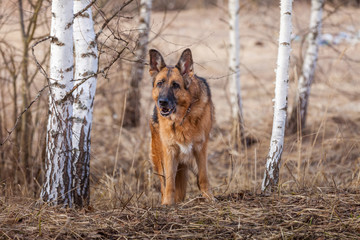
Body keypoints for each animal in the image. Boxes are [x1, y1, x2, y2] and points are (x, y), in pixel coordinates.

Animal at [149, 48, 214, 204]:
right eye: (159, 83)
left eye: (175, 85)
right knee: (163, 185)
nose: (162, 102)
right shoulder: (169, 151)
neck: (182, 118)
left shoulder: (200, 148)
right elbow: (169, 183)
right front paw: (167, 203)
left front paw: (209, 198)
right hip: (160, 159)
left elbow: (203, 177)